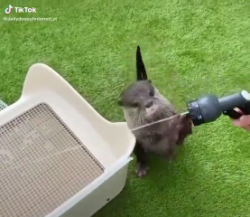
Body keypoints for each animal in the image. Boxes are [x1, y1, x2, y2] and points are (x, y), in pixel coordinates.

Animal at [118, 45, 192, 176]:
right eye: (135, 104)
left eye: (151, 93)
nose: (148, 103)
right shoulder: (138, 137)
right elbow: (149, 148)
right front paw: (142, 167)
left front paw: (183, 123)